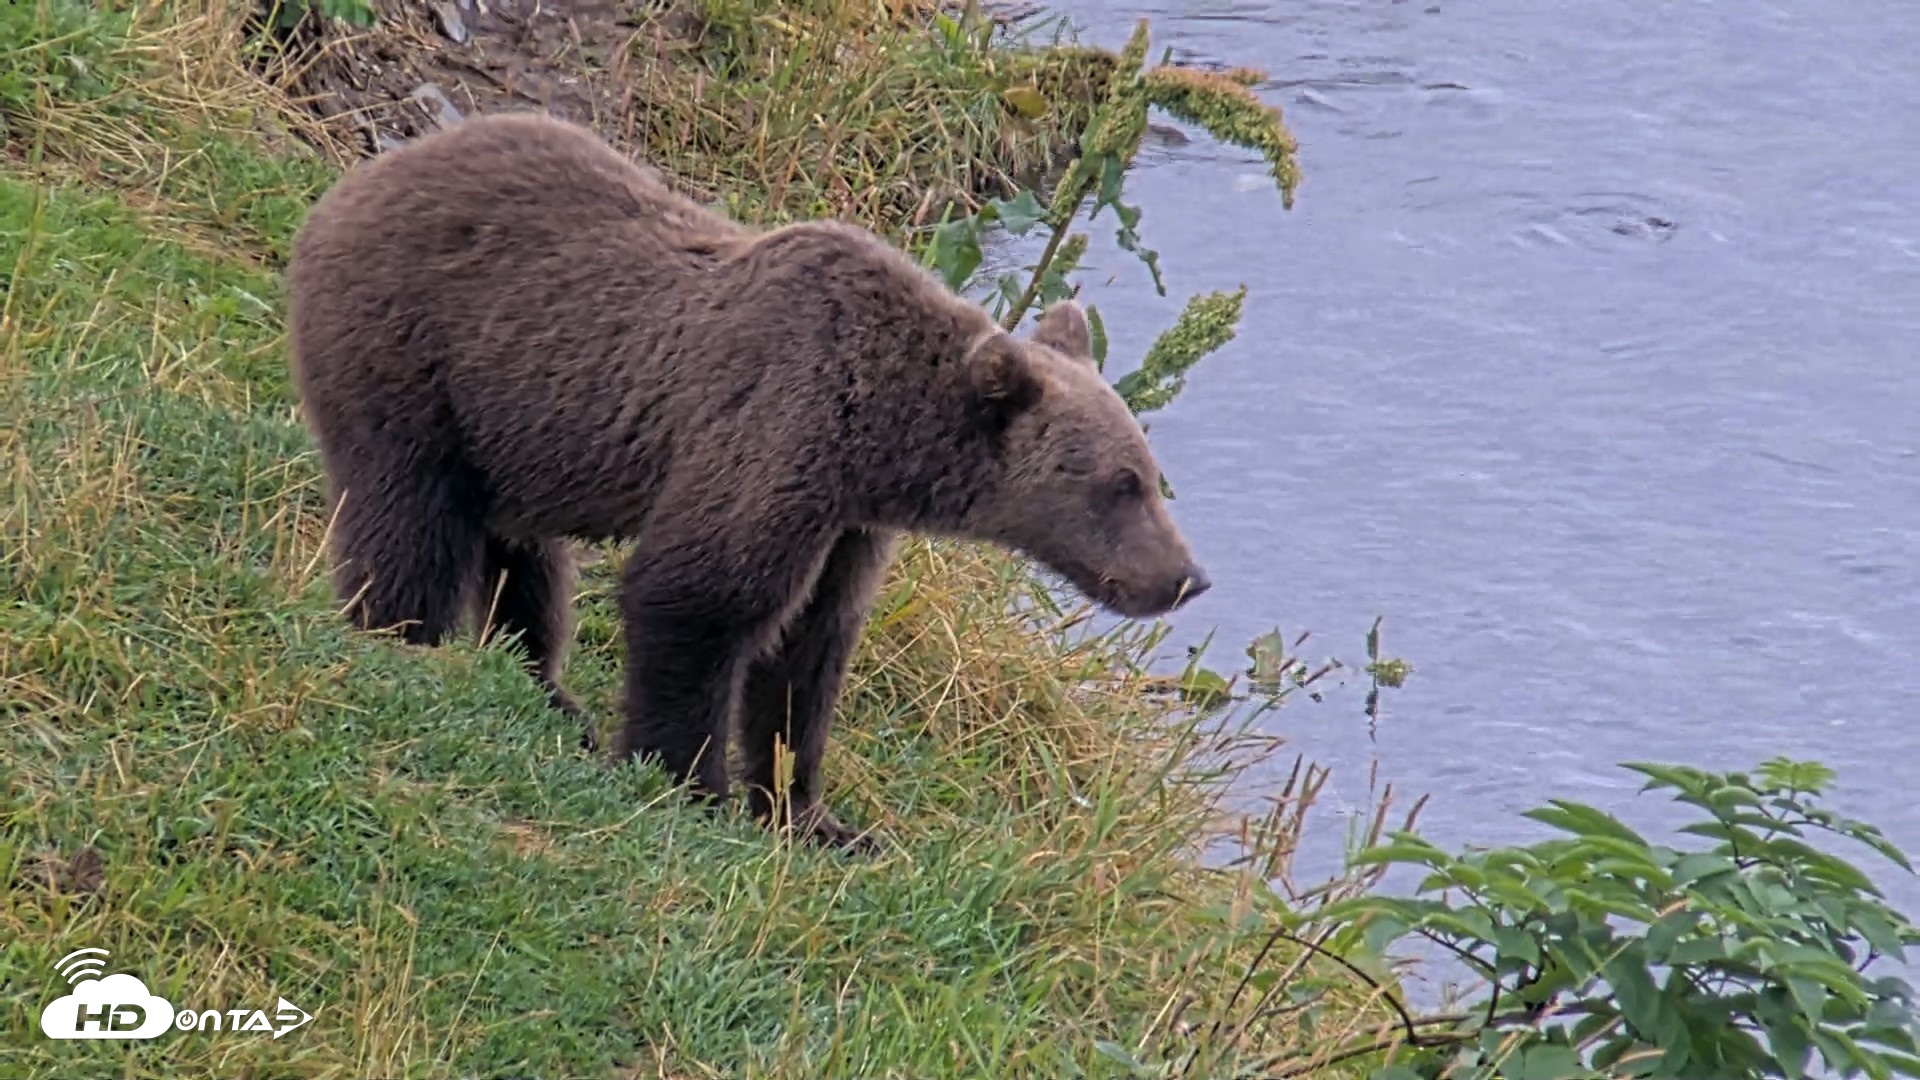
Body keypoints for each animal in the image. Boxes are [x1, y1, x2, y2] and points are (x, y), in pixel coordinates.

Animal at [284, 110, 1211, 852]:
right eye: (1119, 482)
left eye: (1152, 474)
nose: (1186, 577)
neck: (878, 436)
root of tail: (352, 180)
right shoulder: (776, 432)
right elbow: (698, 599)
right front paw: (685, 782)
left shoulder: (846, 524)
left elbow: (809, 651)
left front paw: (816, 816)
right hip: (409, 357)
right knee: (409, 516)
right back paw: (402, 638)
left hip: (515, 428)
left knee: (528, 561)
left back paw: (545, 690)